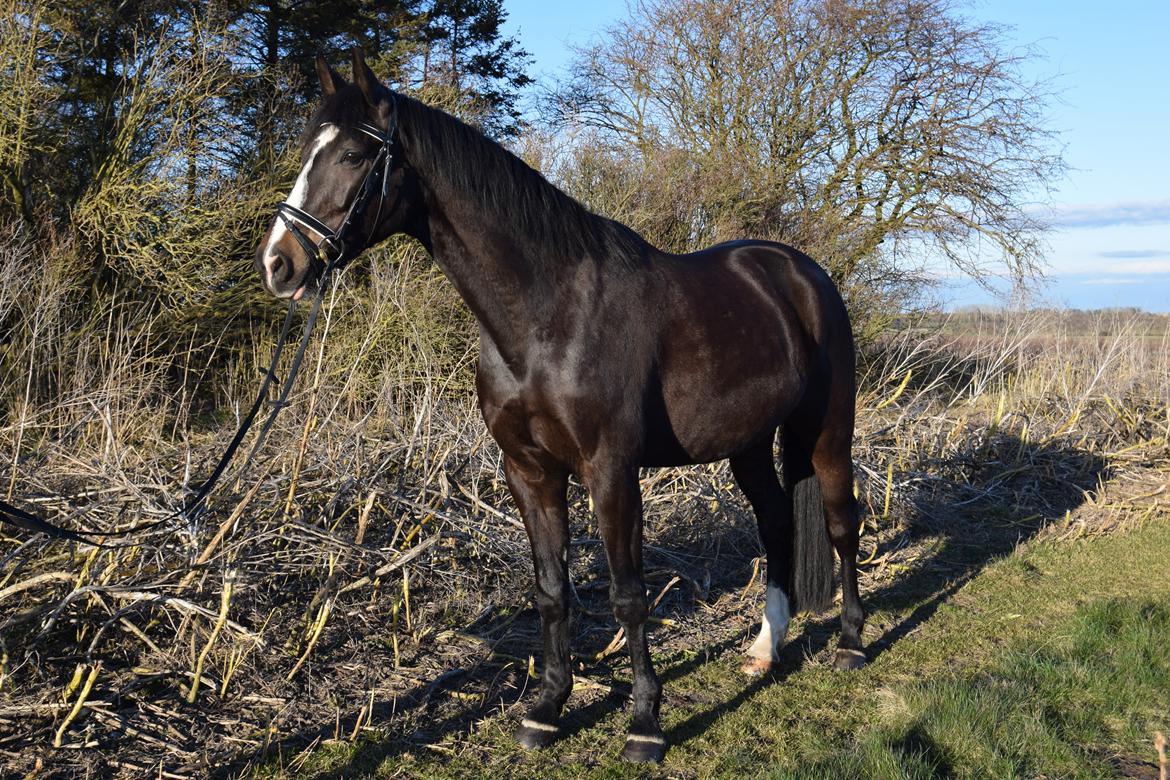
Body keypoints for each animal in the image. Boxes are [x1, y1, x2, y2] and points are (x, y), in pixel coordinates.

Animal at [253, 51, 861, 767]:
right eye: (305, 151)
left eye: (352, 154)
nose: (279, 264)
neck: (548, 316)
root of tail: (801, 274)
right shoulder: (529, 471)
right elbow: (549, 591)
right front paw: (546, 709)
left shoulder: (611, 471)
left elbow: (628, 595)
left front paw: (645, 723)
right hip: (747, 445)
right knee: (774, 523)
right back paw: (765, 650)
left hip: (827, 432)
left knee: (841, 524)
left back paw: (852, 643)